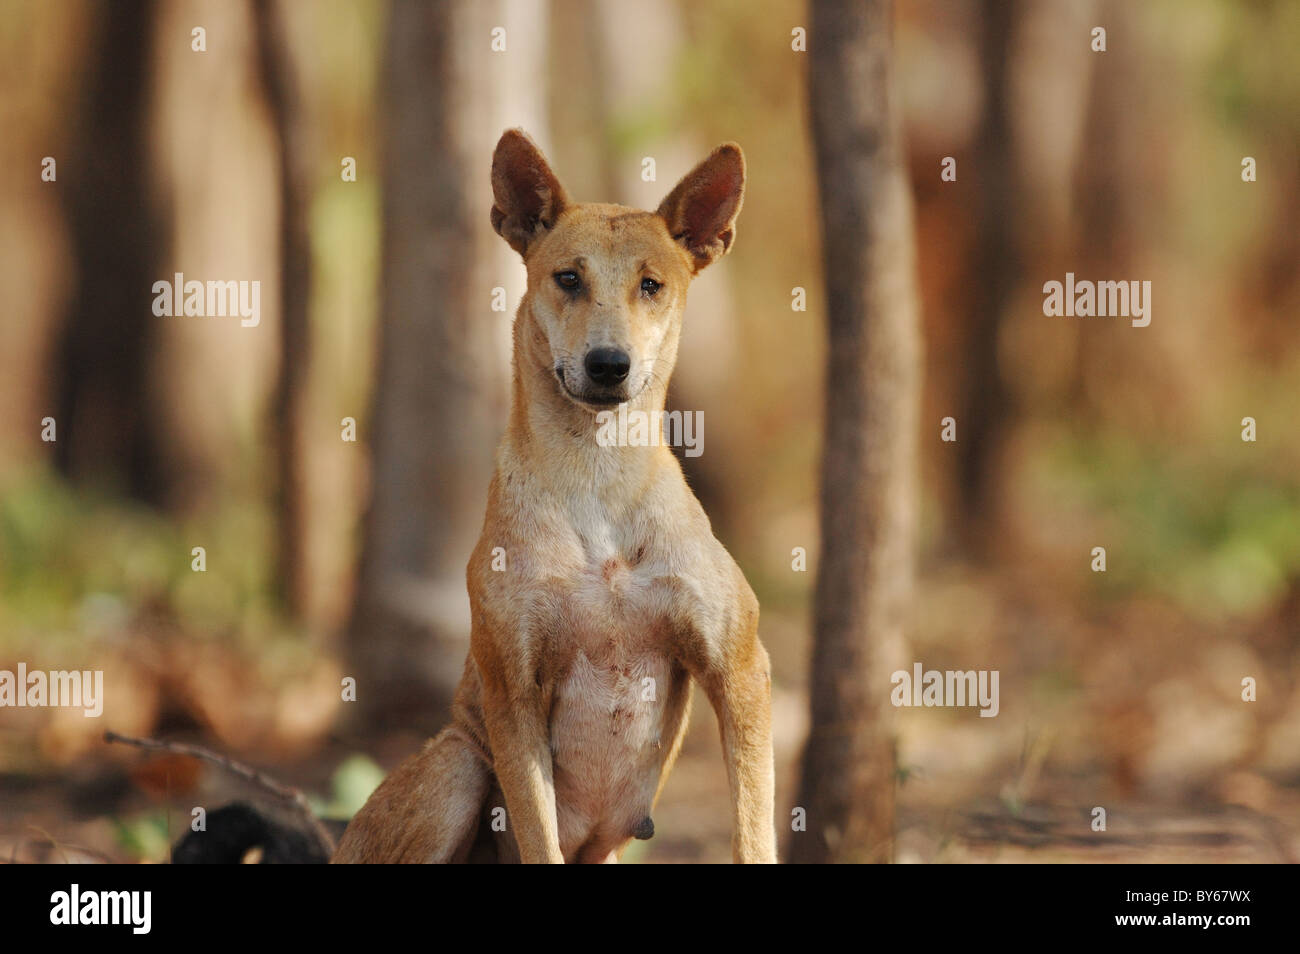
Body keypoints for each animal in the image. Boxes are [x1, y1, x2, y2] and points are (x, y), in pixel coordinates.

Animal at [332, 128, 769, 868]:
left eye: (652, 286)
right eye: (568, 278)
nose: (608, 364)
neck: (597, 476)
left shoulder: (738, 668)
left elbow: (753, 829)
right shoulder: (513, 692)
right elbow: (537, 833)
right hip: (457, 768)